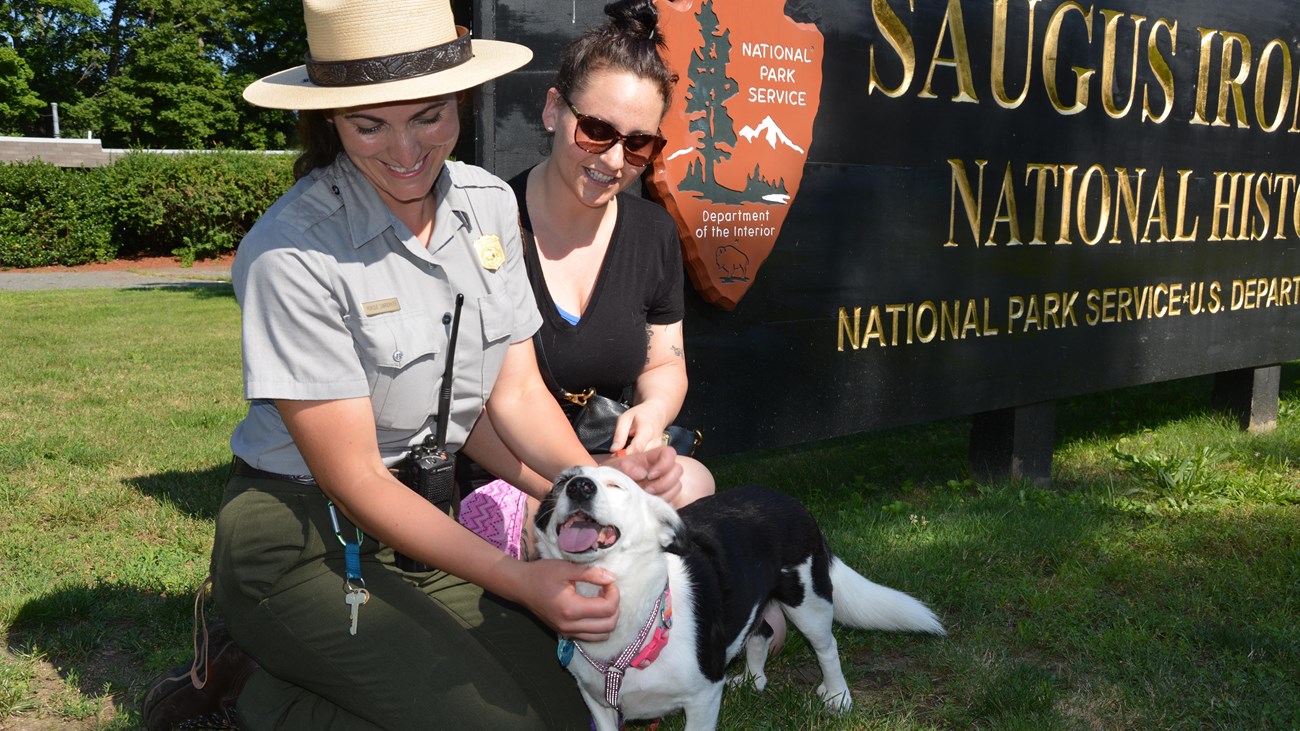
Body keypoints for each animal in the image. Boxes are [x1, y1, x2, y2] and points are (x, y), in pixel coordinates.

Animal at [533, 465, 951, 728]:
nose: (579, 486)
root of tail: (790, 500)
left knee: (827, 646)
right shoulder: (598, 704)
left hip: (808, 600)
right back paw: (753, 679)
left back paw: (837, 696)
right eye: (561, 482)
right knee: (761, 631)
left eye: (618, 486)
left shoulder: (702, 699)